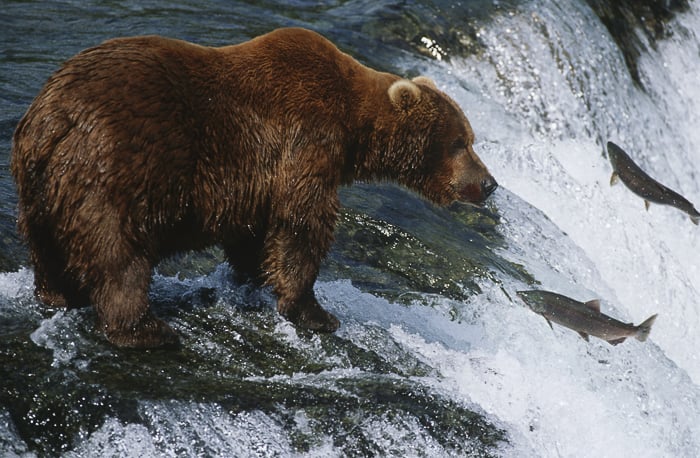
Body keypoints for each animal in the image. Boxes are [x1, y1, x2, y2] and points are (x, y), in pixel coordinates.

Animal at [11, 27, 497, 348]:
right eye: (460, 142)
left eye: (472, 138)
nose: (489, 183)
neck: (352, 125)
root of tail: (53, 116)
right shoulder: (307, 139)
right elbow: (302, 222)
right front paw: (316, 313)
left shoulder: (254, 180)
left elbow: (254, 232)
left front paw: (254, 277)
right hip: (120, 166)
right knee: (119, 250)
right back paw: (144, 329)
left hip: (40, 183)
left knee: (46, 243)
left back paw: (58, 293)